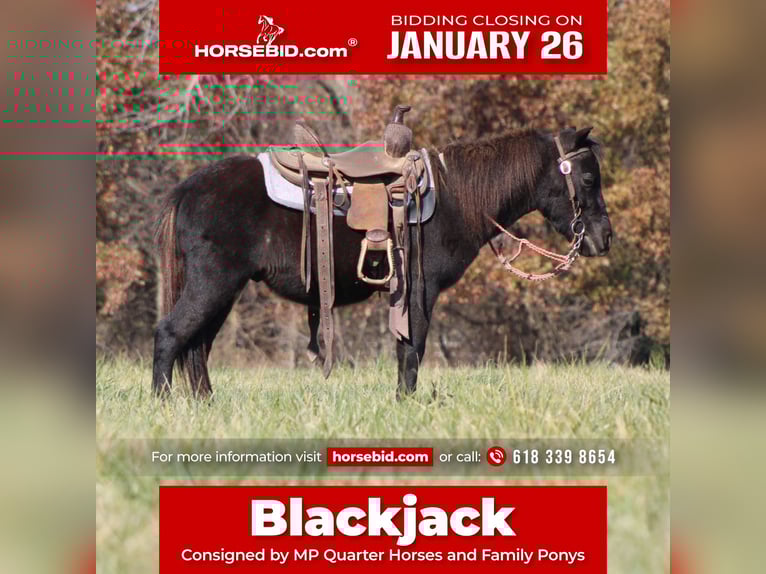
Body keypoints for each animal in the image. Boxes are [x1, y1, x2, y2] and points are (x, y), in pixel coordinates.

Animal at [152, 126, 612, 399]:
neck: (455, 196)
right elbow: (412, 349)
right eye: (589, 178)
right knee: (171, 335)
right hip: (213, 284)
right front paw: (406, 402)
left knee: (197, 346)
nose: (604, 239)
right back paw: (163, 402)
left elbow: (406, 349)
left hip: (222, 291)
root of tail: (188, 189)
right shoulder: (420, 290)